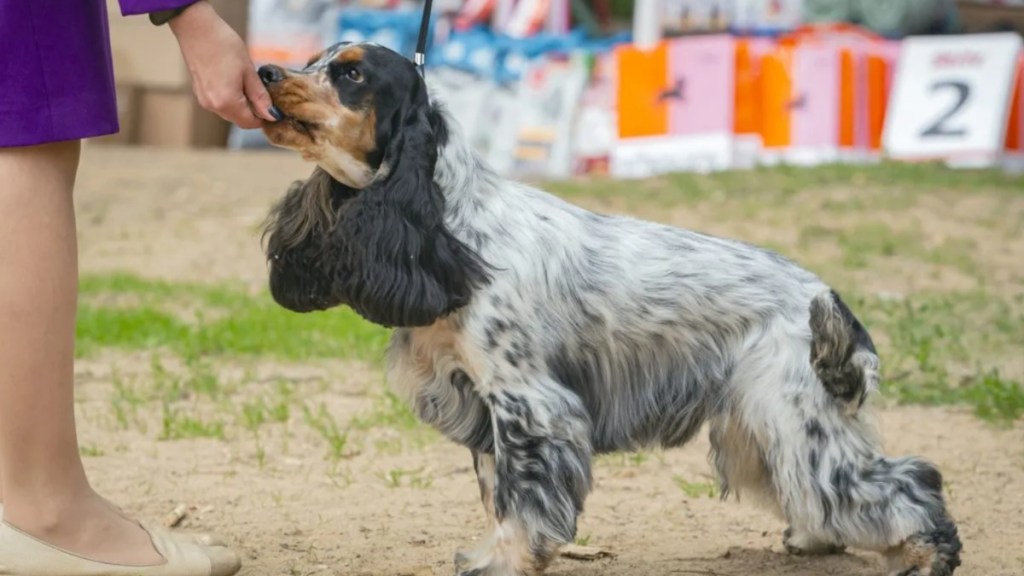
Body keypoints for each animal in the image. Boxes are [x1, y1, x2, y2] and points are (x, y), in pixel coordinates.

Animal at [253, 41, 958, 573]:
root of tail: (823, 293)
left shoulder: (530, 403)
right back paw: (816, 539)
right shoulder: (479, 403)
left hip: (788, 411)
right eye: (316, 58)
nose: (265, 72)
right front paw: (491, 553)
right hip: (755, 423)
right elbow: (496, 493)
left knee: (902, 481)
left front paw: (506, 561)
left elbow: (523, 496)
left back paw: (924, 555)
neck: (450, 227)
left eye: (350, 73)